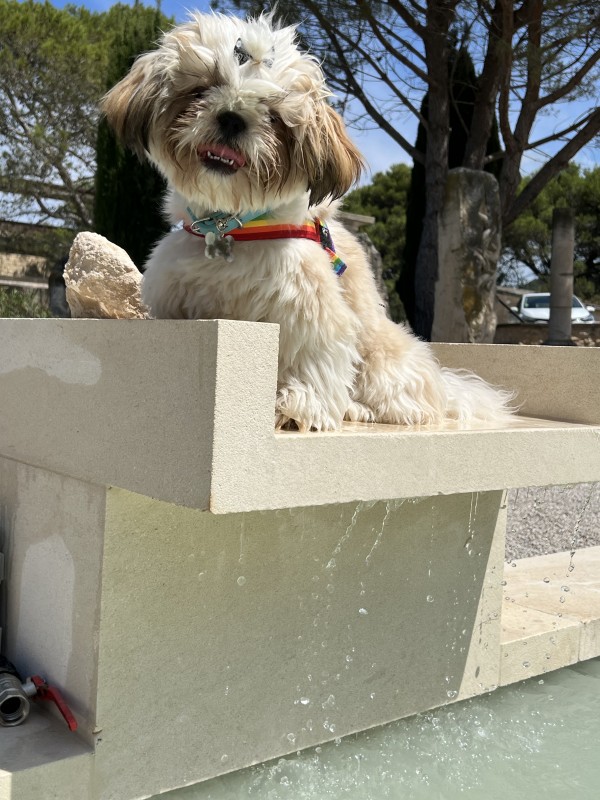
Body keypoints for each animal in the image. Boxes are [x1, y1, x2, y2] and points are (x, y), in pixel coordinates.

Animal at [102, 10, 510, 432]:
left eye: (273, 114)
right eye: (203, 89)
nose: (232, 117)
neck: (233, 225)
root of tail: (447, 389)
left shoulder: (309, 306)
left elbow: (311, 356)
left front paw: (297, 405)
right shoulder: (177, 301)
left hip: (385, 361)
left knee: (400, 399)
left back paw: (358, 408)